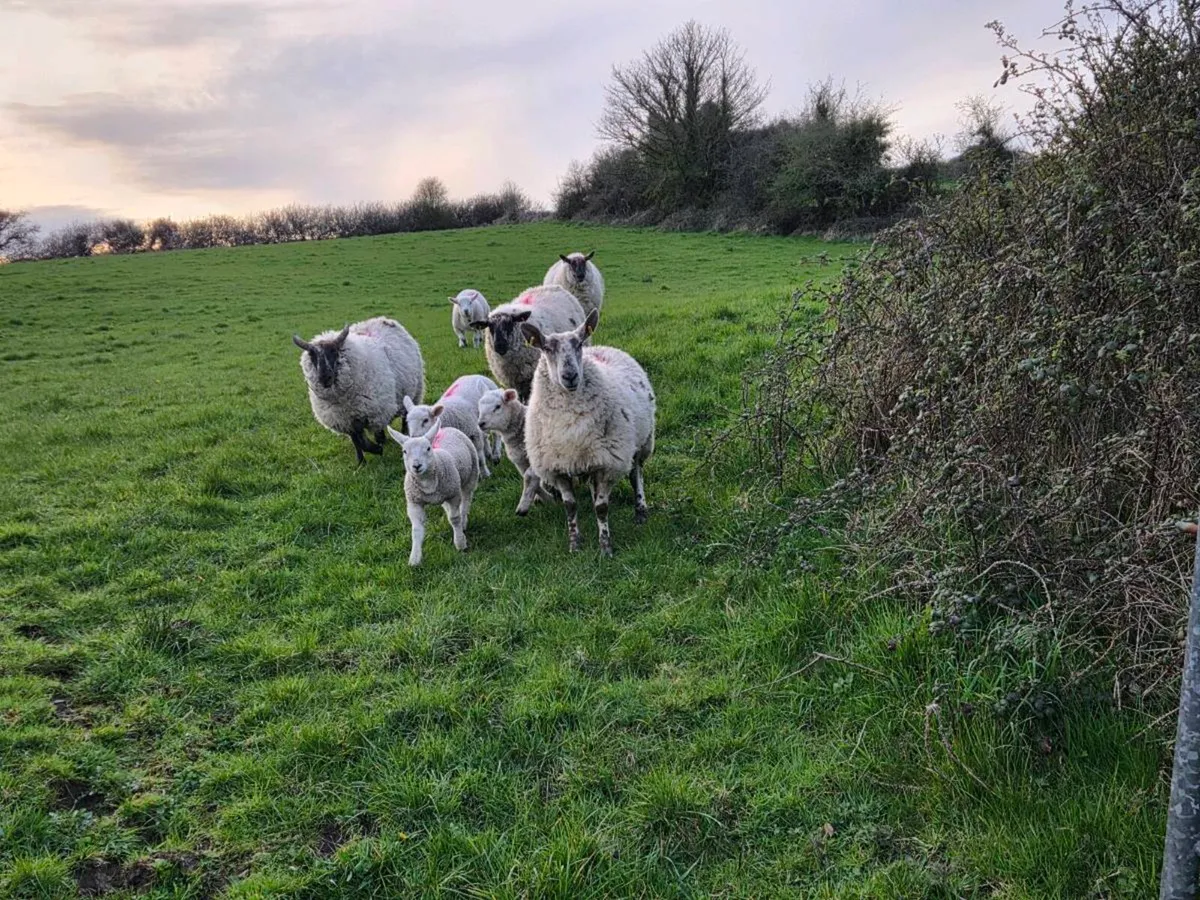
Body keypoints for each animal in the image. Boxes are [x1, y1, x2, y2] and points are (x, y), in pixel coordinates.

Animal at [292, 316, 424, 465]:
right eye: (312, 356)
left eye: (334, 352)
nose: (325, 378)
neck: (342, 401)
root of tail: (383, 319)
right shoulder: (345, 420)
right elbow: (357, 441)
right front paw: (362, 461)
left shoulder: (368, 413)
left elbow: (362, 441)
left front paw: (376, 449)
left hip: (411, 393)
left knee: (404, 416)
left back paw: (402, 434)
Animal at [386, 418, 479, 566]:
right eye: (404, 451)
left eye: (428, 448)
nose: (416, 466)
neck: (427, 484)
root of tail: (445, 428)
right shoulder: (414, 502)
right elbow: (416, 529)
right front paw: (415, 559)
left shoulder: (453, 495)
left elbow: (455, 519)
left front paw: (460, 543)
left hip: (471, 476)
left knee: (466, 500)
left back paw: (463, 521)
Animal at [477, 387, 555, 516]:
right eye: (479, 406)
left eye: (498, 406)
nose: (481, 423)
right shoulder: (519, 460)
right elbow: (531, 480)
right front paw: (546, 498)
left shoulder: (538, 456)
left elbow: (529, 477)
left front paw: (523, 506)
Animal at [522, 309, 655, 556]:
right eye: (546, 348)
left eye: (579, 343)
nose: (570, 375)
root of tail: (603, 347)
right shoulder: (558, 467)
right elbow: (570, 506)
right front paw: (575, 543)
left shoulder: (607, 464)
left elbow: (601, 508)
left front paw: (605, 547)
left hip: (641, 444)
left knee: (636, 475)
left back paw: (640, 509)